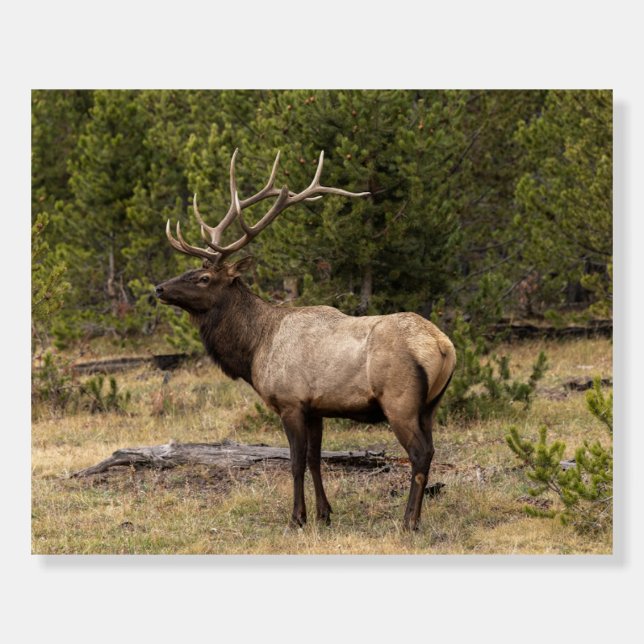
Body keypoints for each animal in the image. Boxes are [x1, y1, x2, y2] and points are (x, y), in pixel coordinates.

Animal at [155, 149, 456, 531]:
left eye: (204, 278)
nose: (159, 288)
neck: (254, 349)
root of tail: (443, 346)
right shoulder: (316, 407)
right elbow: (315, 458)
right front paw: (324, 514)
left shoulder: (290, 402)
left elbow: (295, 461)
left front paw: (297, 517)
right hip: (431, 405)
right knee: (430, 450)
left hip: (399, 400)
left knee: (419, 453)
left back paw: (408, 521)